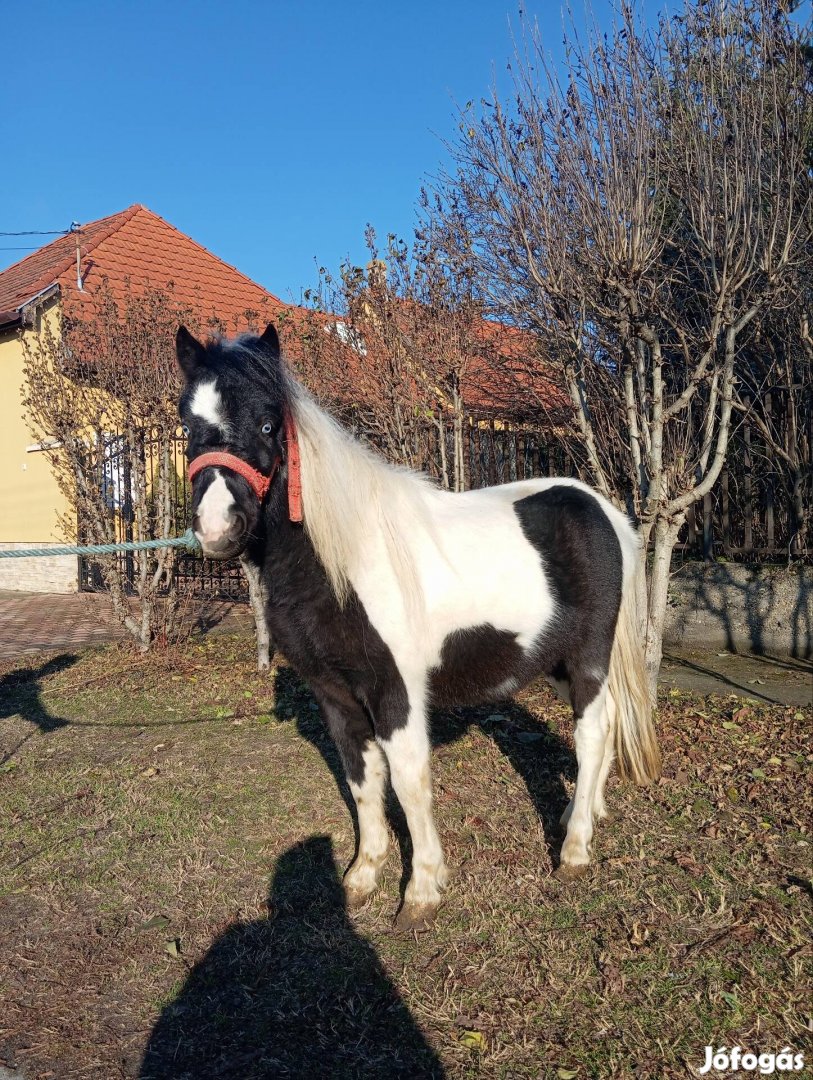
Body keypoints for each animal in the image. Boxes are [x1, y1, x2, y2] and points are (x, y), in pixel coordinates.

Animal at [177, 319, 660, 928]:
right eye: (187, 424)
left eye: (267, 421)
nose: (218, 528)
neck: (345, 560)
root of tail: (606, 511)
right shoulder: (335, 696)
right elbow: (362, 781)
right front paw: (363, 876)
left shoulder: (396, 691)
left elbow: (408, 782)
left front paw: (422, 888)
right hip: (555, 660)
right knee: (609, 723)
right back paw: (586, 811)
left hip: (589, 656)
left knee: (592, 732)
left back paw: (574, 848)